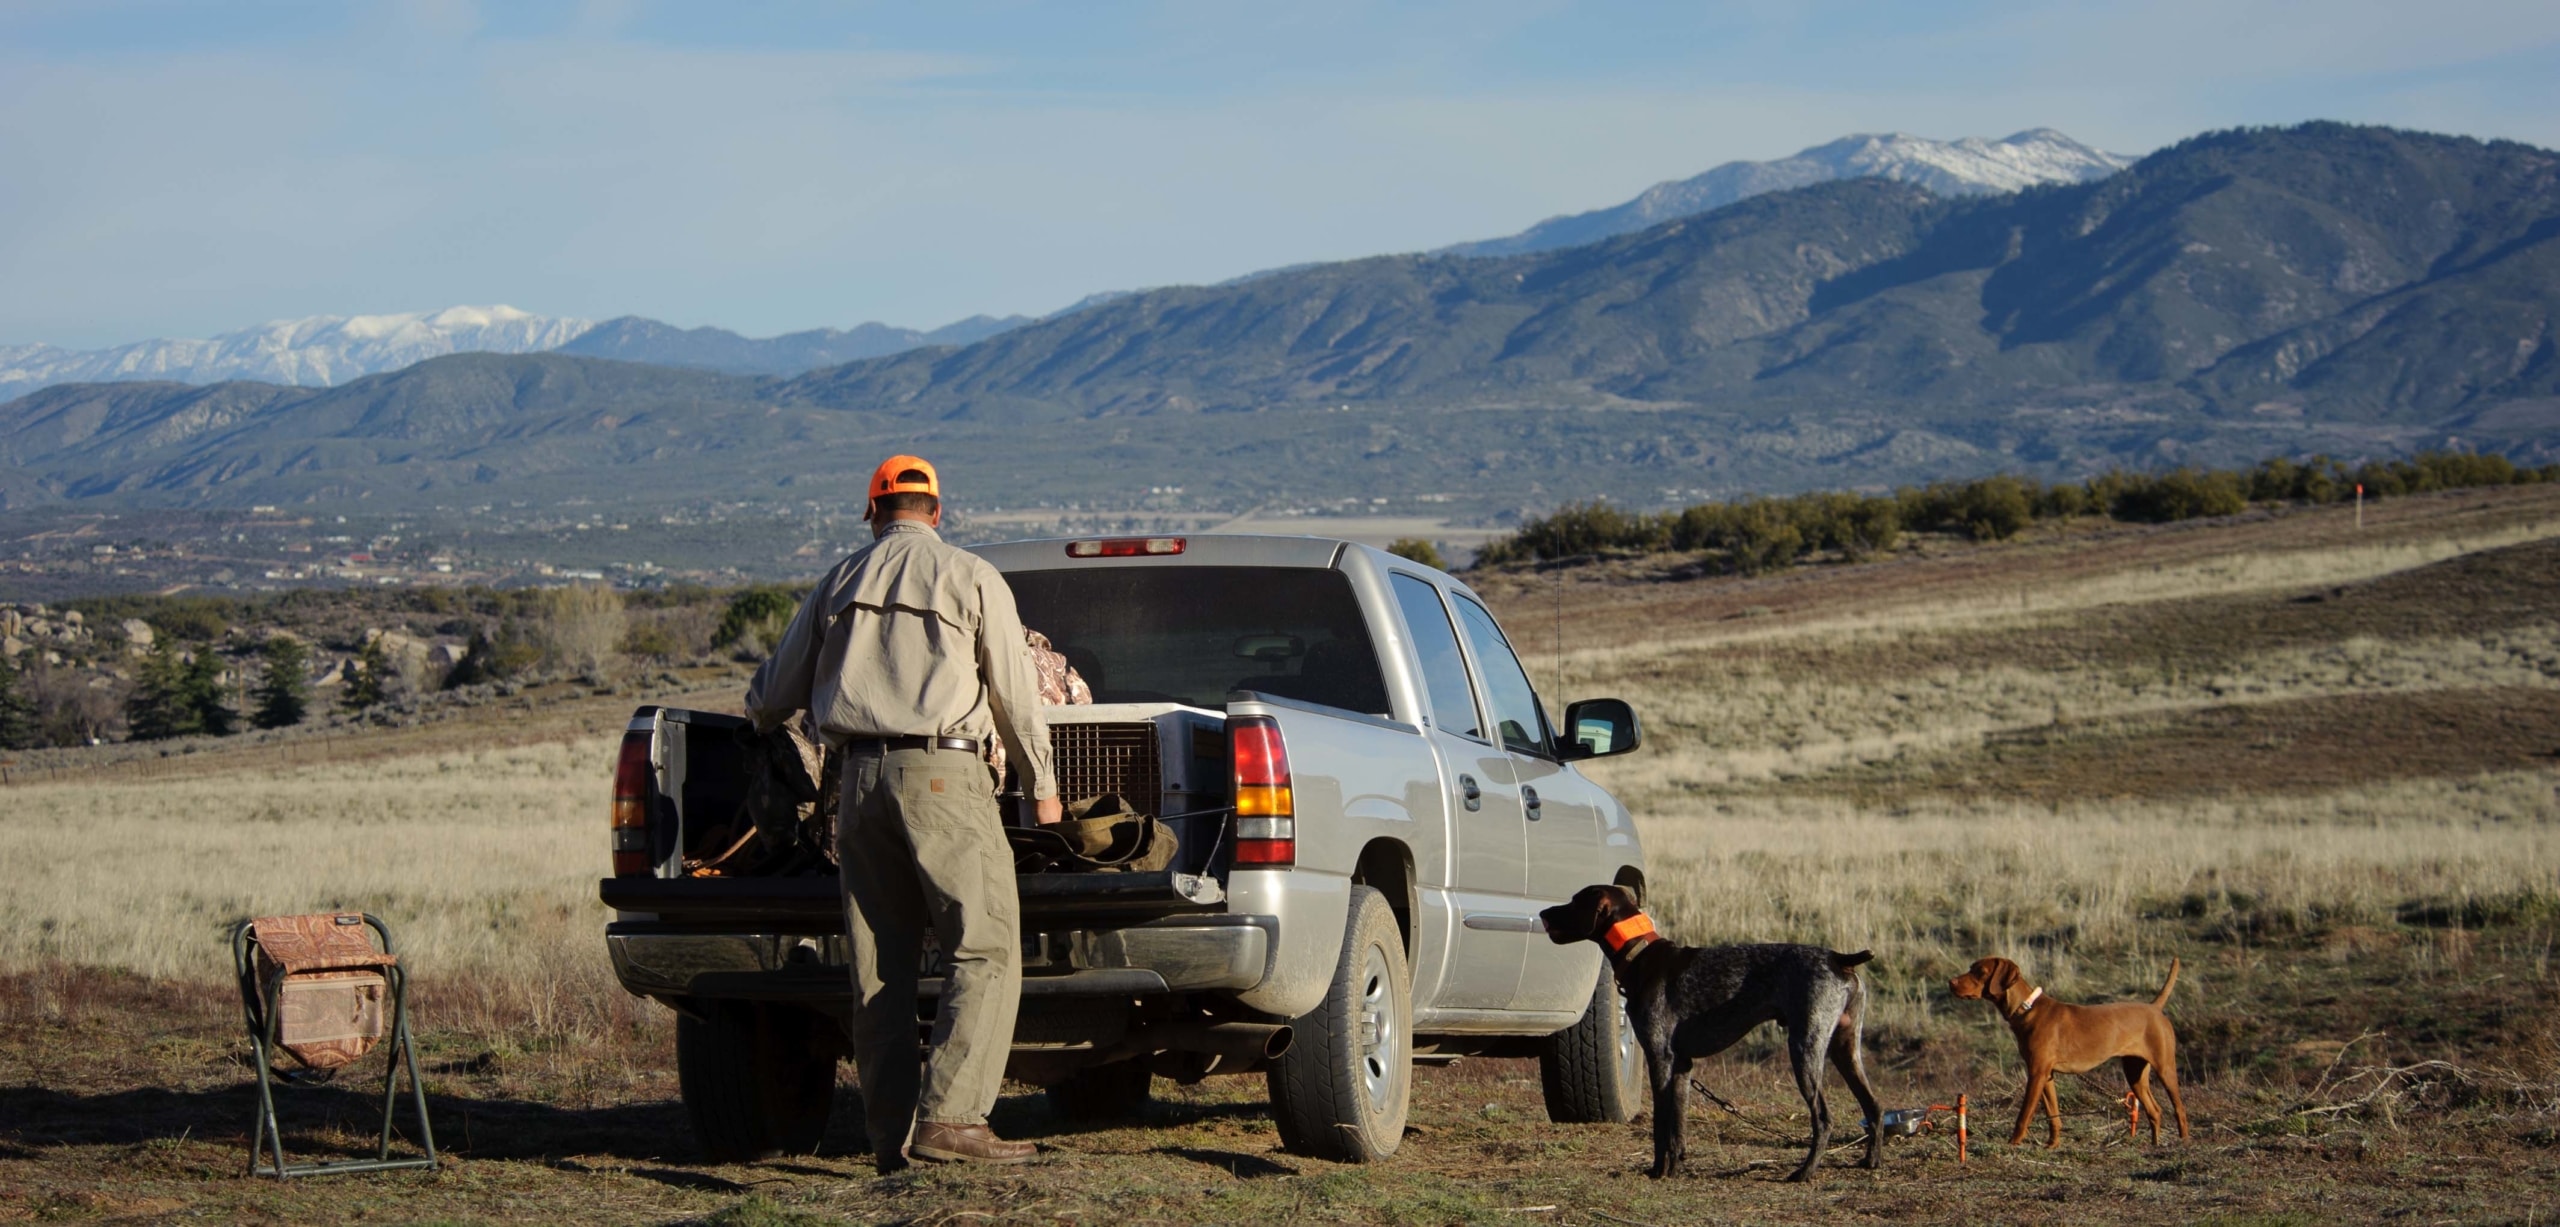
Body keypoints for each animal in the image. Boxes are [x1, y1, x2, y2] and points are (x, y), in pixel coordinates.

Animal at [1945, 958, 2191, 1147]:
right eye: (1971, 967)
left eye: (1981, 971)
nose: (1950, 981)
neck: (2027, 1008)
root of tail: (2154, 1007)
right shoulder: (2046, 1075)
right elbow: (2053, 1116)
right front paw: (2052, 1145)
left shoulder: (2036, 1074)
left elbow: (2023, 1115)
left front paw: (2013, 1143)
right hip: (2135, 1074)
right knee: (2155, 1110)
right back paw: (2154, 1145)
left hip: (2165, 1069)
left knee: (2179, 1108)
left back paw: (2183, 1142)